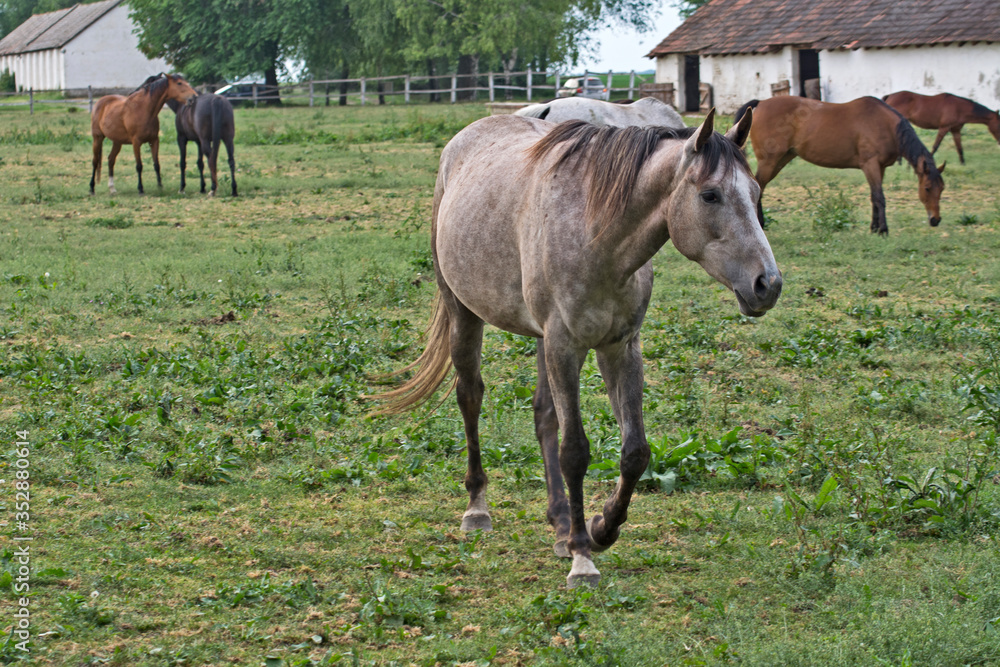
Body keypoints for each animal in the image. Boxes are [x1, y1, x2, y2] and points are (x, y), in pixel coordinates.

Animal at [371, 109, 782, 587]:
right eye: (710, 195)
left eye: (755, 193)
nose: (767, 284)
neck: (597, 235)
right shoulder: (565, 345)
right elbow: (575, 452)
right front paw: (583, 557)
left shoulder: (620, 347)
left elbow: (635, 452)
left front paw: (601, 527)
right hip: (466, 314)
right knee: (470, 397)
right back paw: (479, 508)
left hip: (543, 343)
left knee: (544, 415)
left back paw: (562, 522)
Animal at [733, 96, 946, 235]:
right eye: (927, 188)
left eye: (942, 189)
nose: (935, 220)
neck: (885, 125)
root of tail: (761, 102)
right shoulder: (871, 165)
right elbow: (880, 197)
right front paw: (883, 230)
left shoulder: (880, 168)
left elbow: (874, 197)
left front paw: (874, 227)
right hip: (770, 161)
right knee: (759, 187)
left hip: (782, 159)